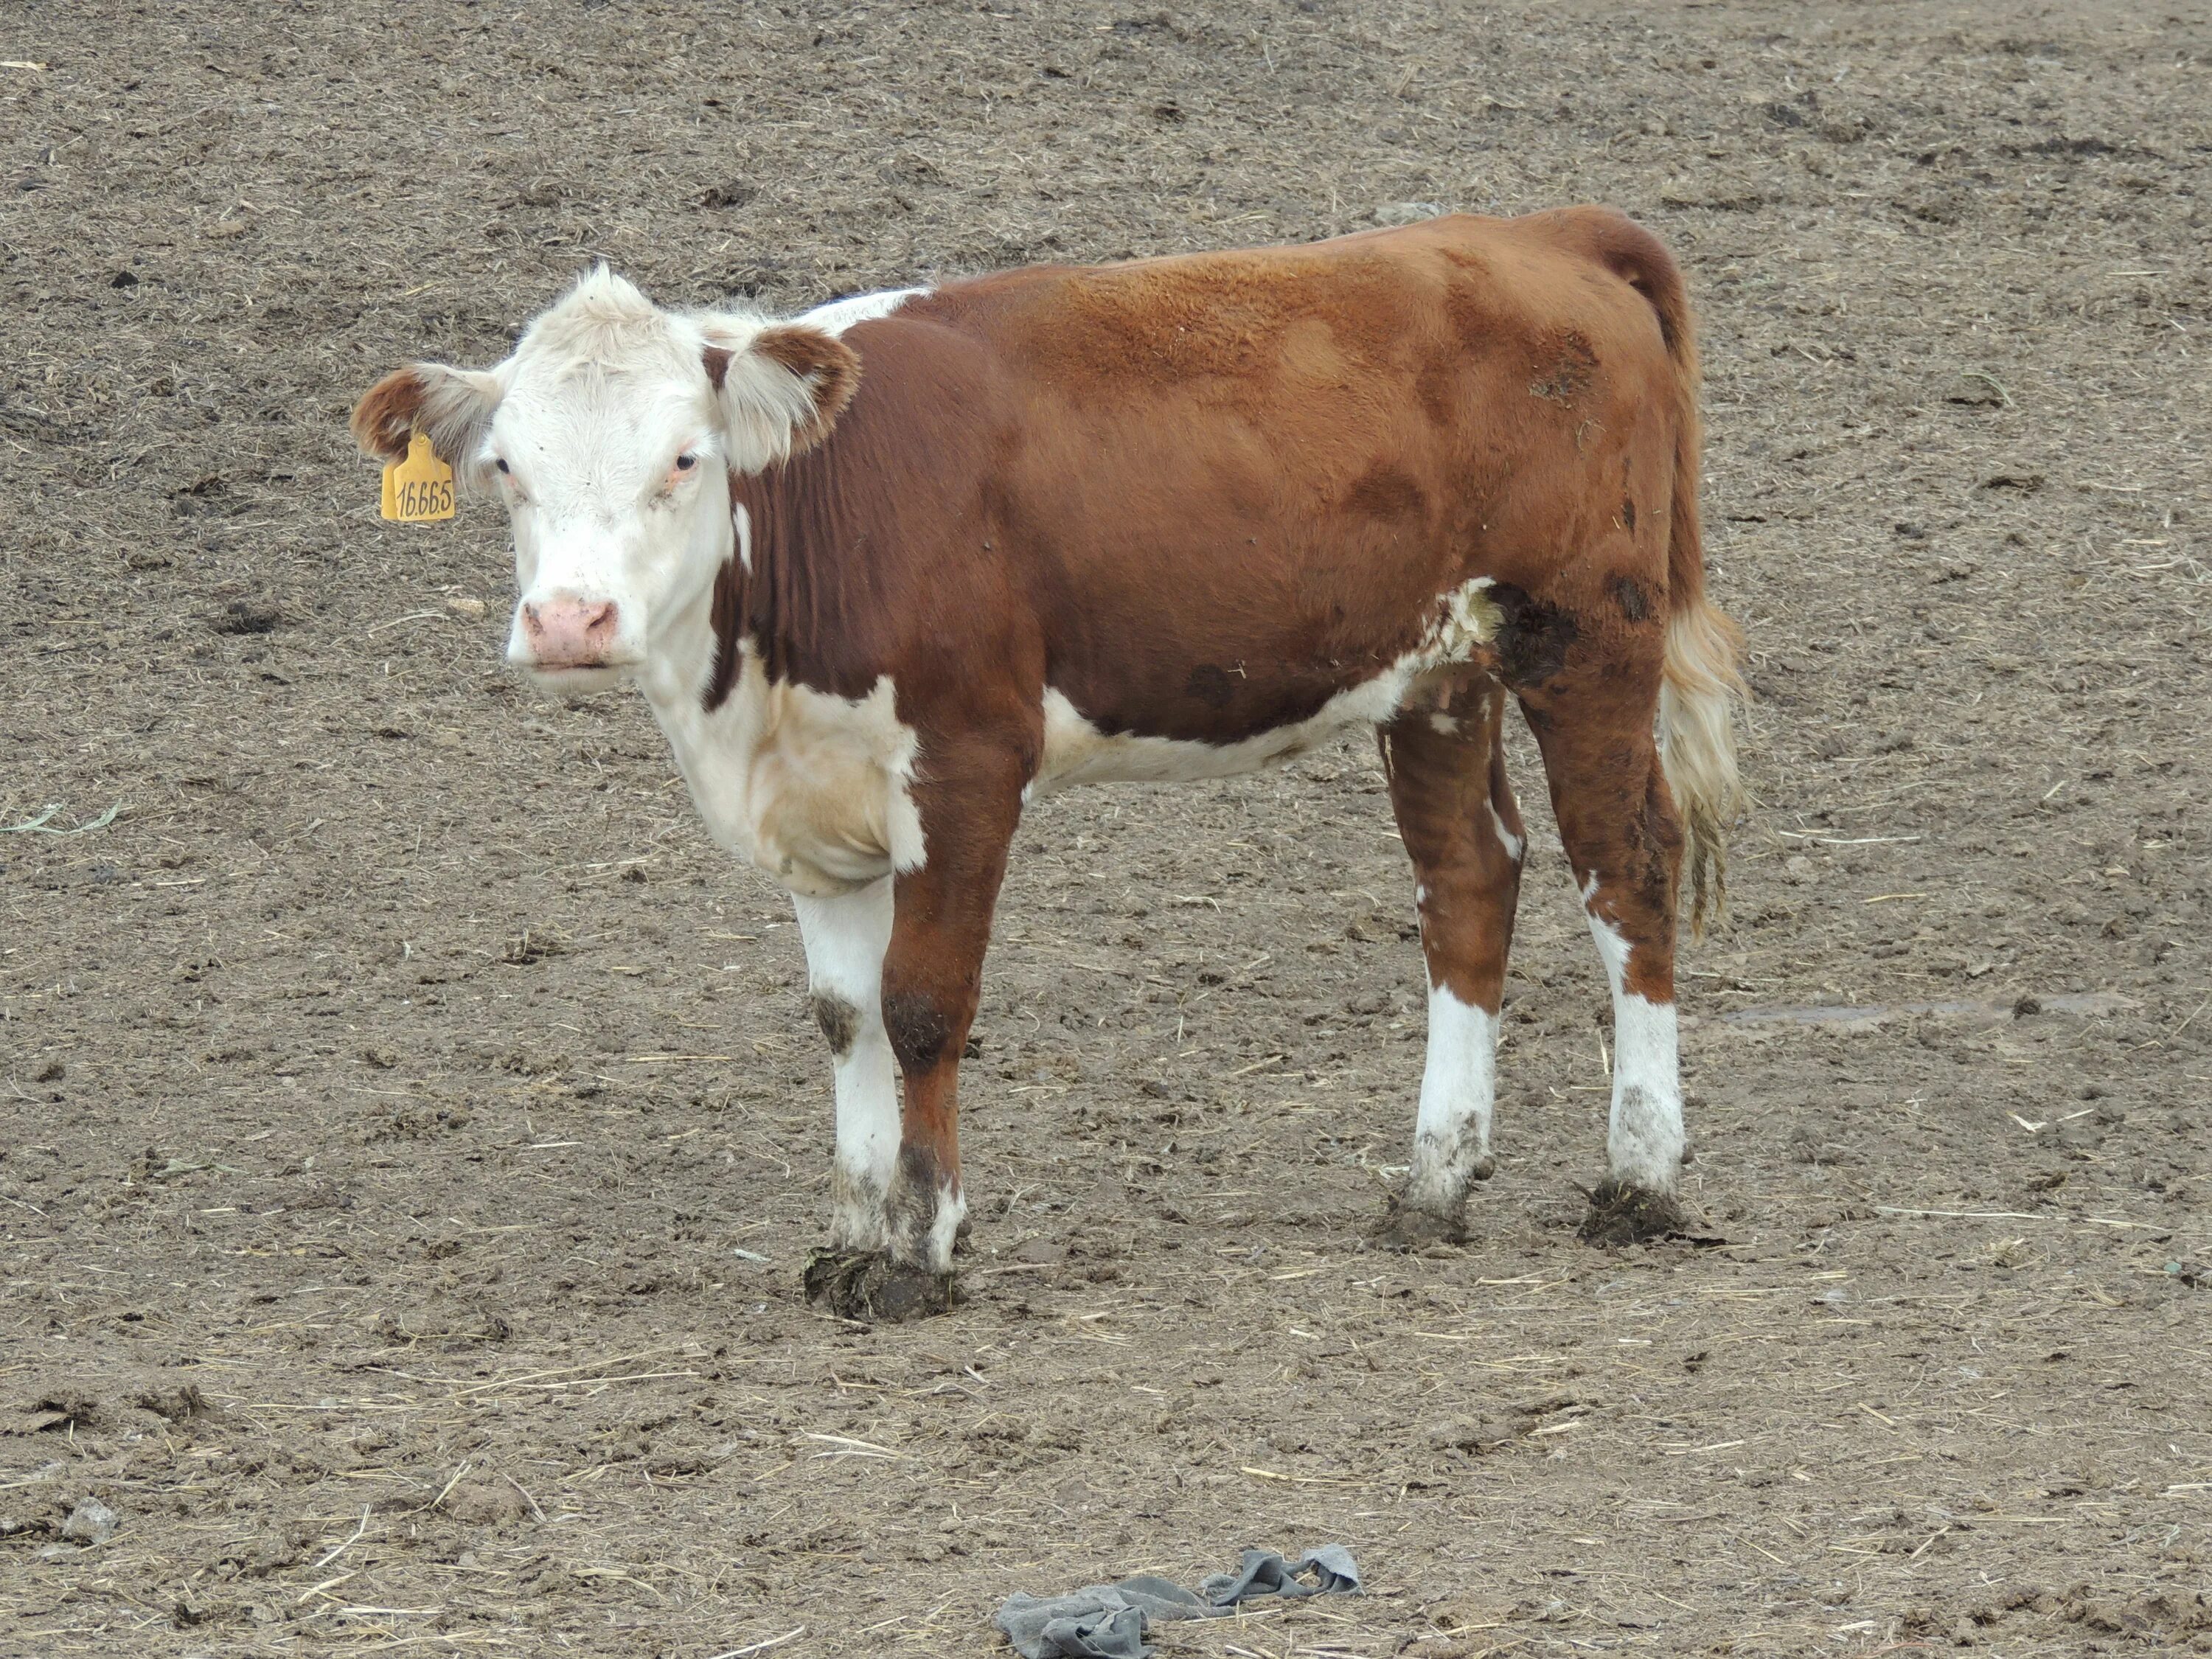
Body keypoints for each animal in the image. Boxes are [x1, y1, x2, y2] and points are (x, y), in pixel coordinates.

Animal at [354, 208, 1743, 1327]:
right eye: (507, 468)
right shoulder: (814, 798)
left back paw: (1639, 1178)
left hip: (1585, 637)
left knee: (1626, 865)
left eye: (683, 459)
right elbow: (844, 1015)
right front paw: (850, 1238)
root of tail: (1539, 232)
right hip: (1438, 674)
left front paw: (920, 1250)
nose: (569, 623)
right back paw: (1433, 1183)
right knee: (1468, 882)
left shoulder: (968, 765)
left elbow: (922, 1006)